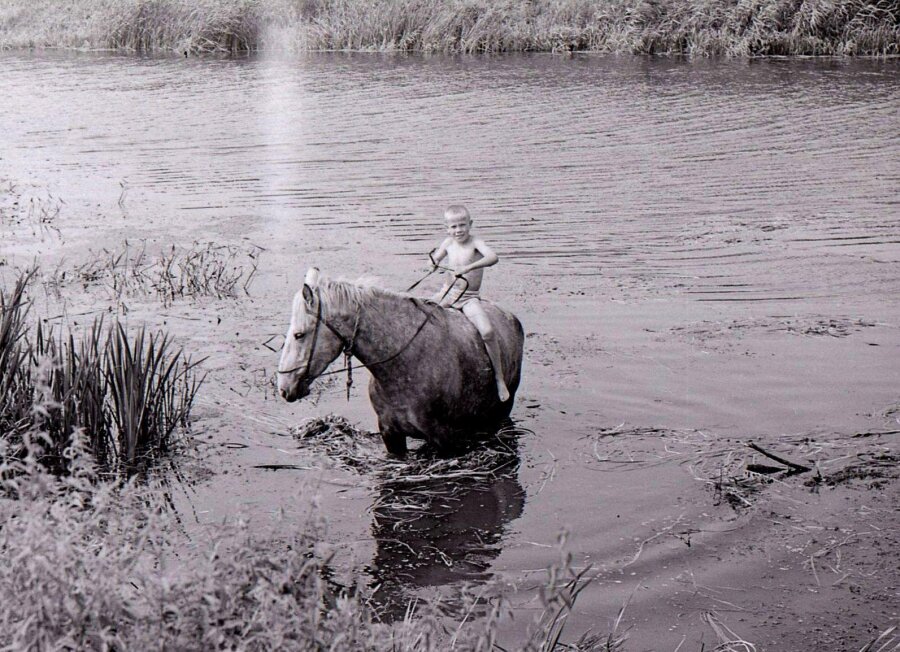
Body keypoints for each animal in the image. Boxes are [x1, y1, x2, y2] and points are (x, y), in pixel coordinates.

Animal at [278, 268, 524, 456]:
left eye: (299, 335)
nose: (283, 387)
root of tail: (511, 317)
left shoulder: (445, 438)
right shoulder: (390, 434)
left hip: (502, 412)